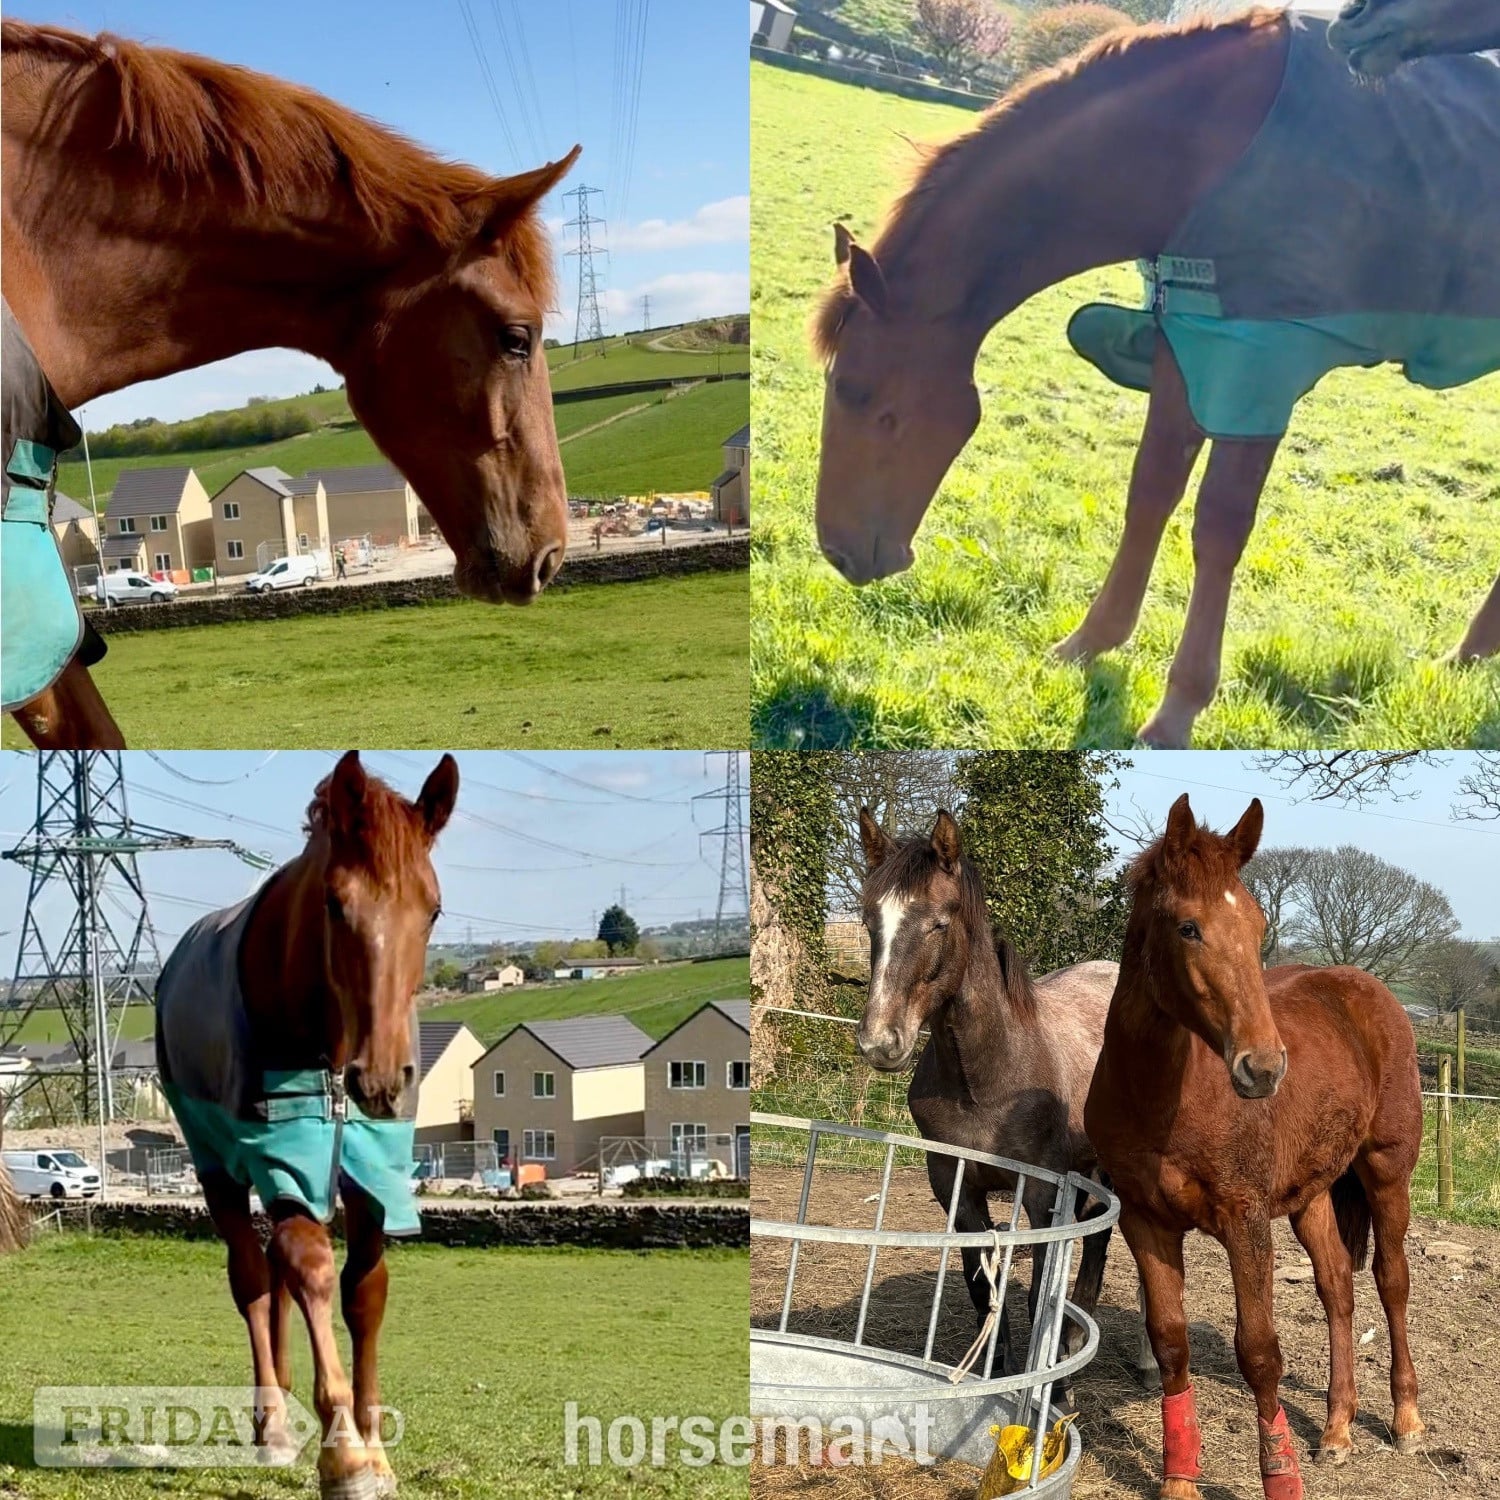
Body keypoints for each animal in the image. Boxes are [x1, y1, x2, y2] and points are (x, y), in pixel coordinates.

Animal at [154, 751, 459, 1500]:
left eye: (432, 908)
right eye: (335, 903)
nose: (381, 1080)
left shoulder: (373, 1176)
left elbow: (365, 1291)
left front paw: (375, 1446)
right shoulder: (282, 1160)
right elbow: (311, 1270)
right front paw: (345, 1455)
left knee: (271, 1274)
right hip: (218, 1165)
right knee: (252, 1277)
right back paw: (271, 1426)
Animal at [811, 9, 1500, 747]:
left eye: (862, 397)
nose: (841, 554)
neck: (1203, 145)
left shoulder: (1258, 360)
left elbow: (1219, 527)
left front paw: (1178, 709)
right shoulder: (1187, 339)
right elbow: (1150, 492)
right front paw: (1090, 641)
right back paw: (1468, 655)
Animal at [854, 807, 1139, 1383]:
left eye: (939, 923)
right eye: (869, 921)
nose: (879, 1042)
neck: (985, 1086)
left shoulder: (1043, 1195)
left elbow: (1038, 1296)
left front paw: (1053, 1383)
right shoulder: (955, 1187)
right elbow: (984, 1290)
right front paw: (997, 1372)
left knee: (1101, 1242)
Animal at [1084, 795, 1424, 1500]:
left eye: (1260, 922)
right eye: (1188, 928)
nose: (1264, 1069)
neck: (1165, 1097)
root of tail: (1371, 992)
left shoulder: (1244, 1221)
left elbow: (1261, 1351)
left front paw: (1280, 1477)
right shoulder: (1146, 1221)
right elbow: (1170, 1343)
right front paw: (1179, 1478)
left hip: (1386, 1173)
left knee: (1391, 1280)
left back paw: (1406, 1419)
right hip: (1312, 1194)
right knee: (1336, 1288)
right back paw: (1337, 1429)